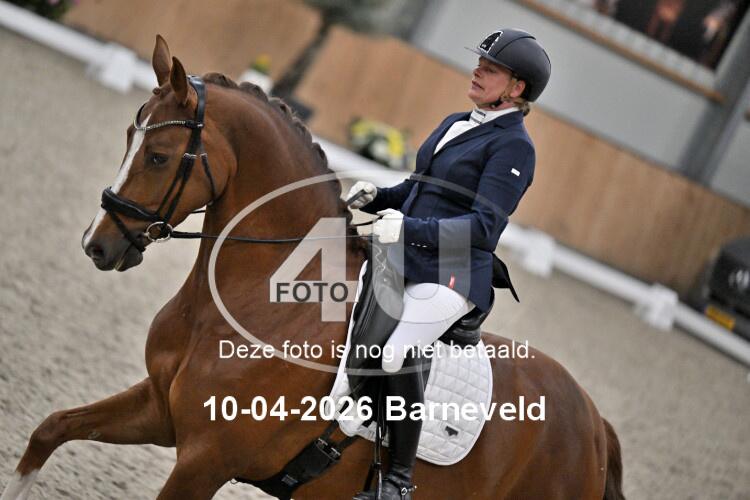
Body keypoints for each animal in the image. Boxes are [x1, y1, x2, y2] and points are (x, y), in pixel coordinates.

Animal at [1, 36, 625, 500]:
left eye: (158, 157)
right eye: (130, 136)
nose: (97, 245)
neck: (251, 299)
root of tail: (595, 426)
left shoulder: (205, 459)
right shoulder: (158, 409)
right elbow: (51, 428)